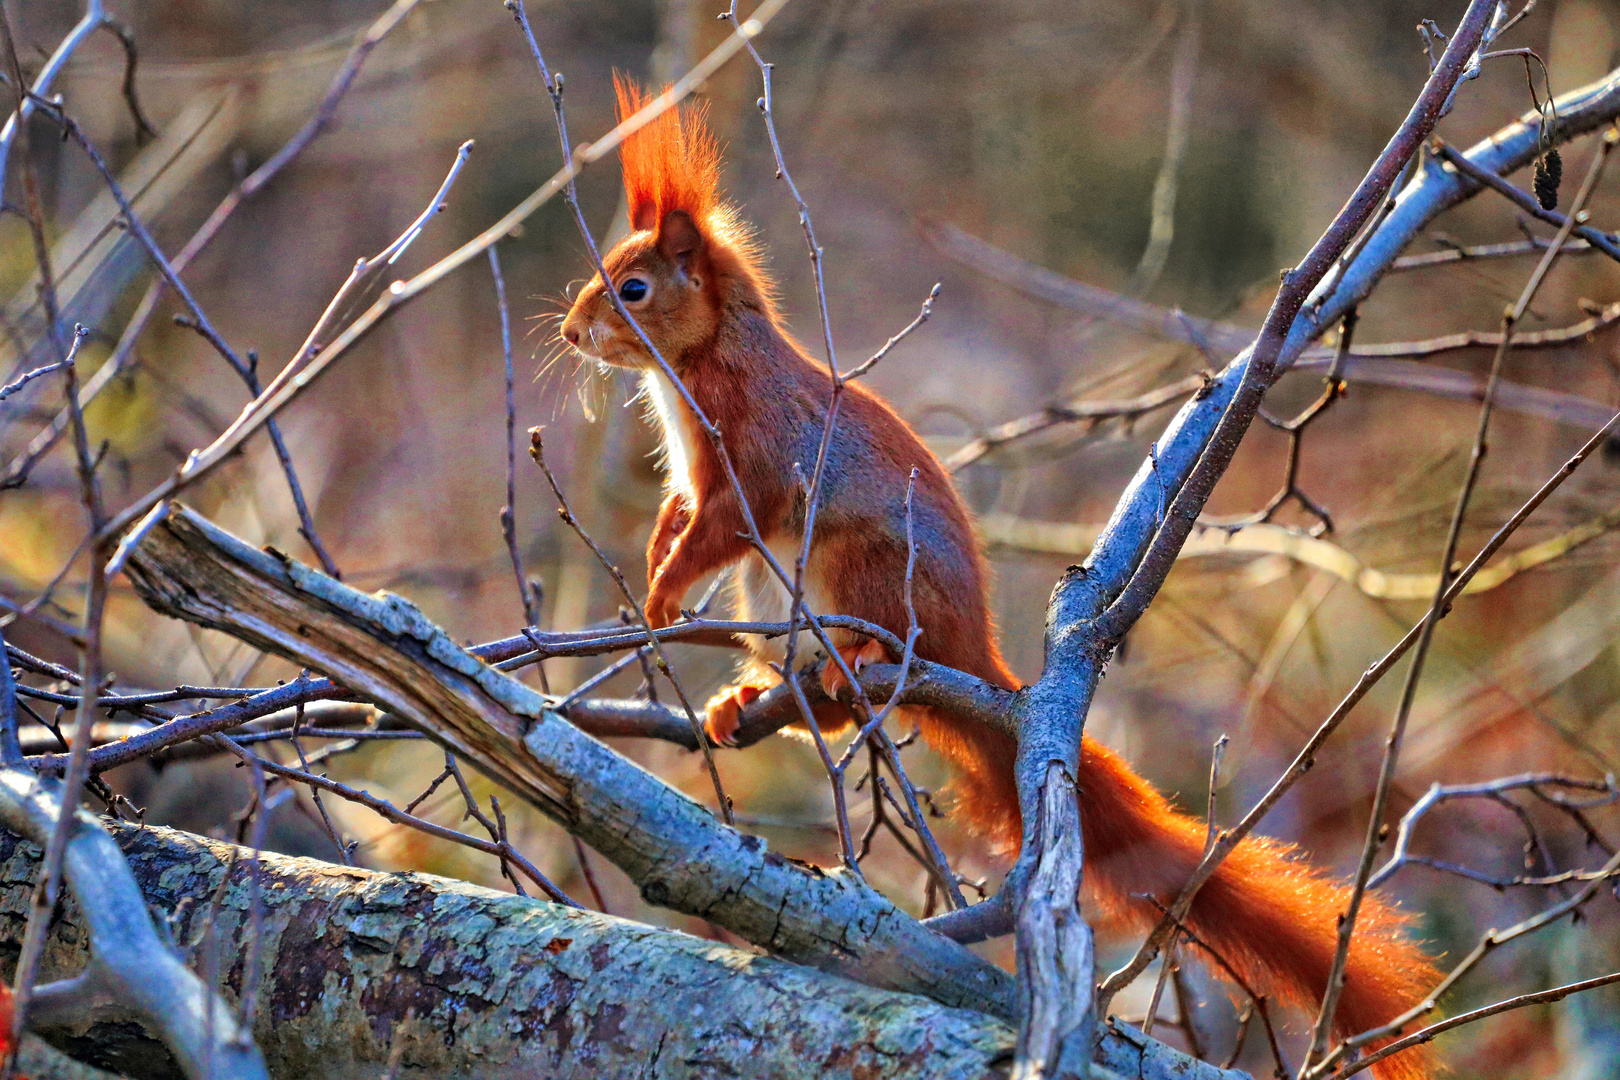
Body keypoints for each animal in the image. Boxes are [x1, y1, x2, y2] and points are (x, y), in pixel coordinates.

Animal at [563, 78, 1438, 1080]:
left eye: (633, 288)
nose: (571, 331)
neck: (701, 363)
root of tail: (972, 653)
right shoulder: (696, 478)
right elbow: (681, 515)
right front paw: (655, 561)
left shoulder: (753, 457)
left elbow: (723, 526)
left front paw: (663, 593)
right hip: (773, 596)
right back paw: (750, 694)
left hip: (859, 566)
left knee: (864, 661)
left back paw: (857, 660)